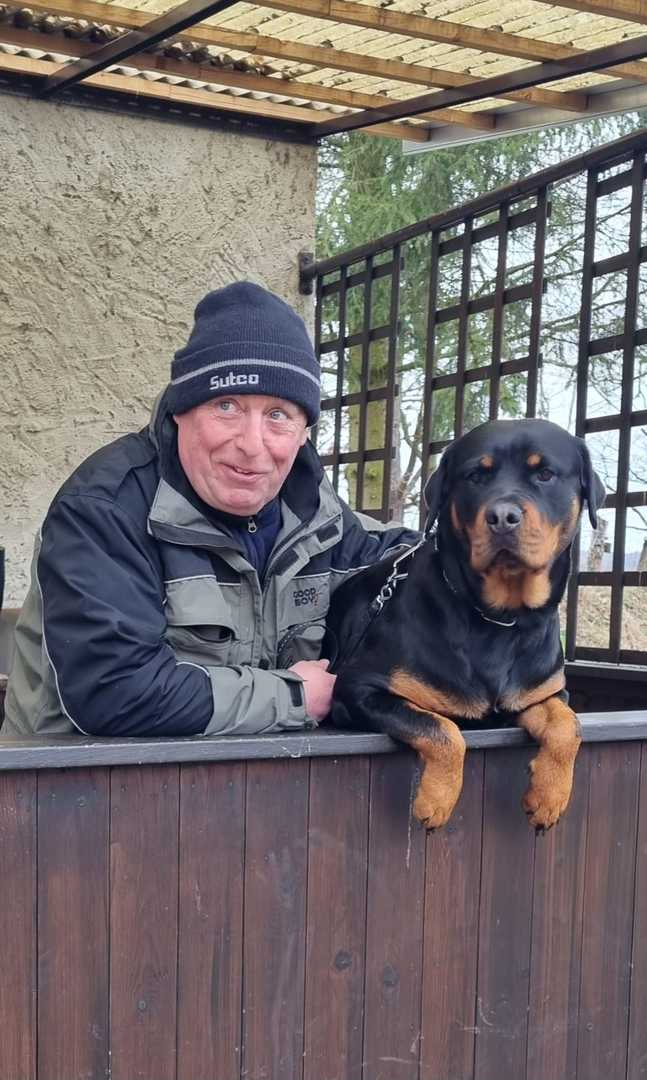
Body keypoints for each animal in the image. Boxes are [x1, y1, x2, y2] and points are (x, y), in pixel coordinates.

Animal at [326, 419, 605, 831]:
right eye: (476, 476)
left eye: (545, 474)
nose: (503, 516)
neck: (499, 619)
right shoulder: (358, 689)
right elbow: (442, 728)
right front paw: (435, 800)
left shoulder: (544, 691)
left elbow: (567, 726)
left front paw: (548, 797)